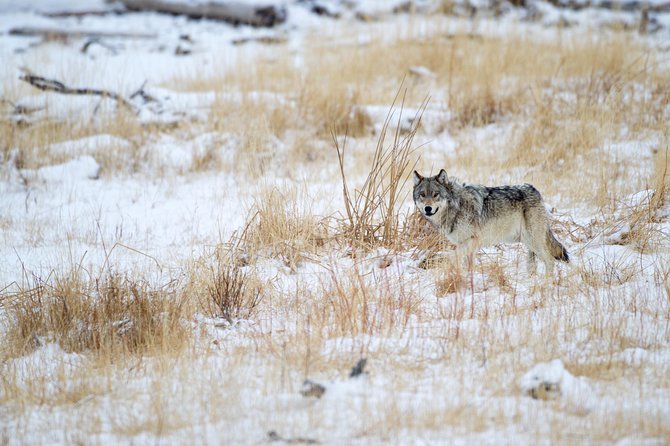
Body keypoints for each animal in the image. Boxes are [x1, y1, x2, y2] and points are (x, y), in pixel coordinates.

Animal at [412, 170, 568, 276]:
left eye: (435, 194)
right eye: (422, 195)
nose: (427, 208)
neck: (456, 206)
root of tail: (535, 190)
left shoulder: (472, 241)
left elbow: (452, 255)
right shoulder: (468, 245)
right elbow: (468, 265)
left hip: (534, 241)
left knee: (550, 260)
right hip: (527, 242)